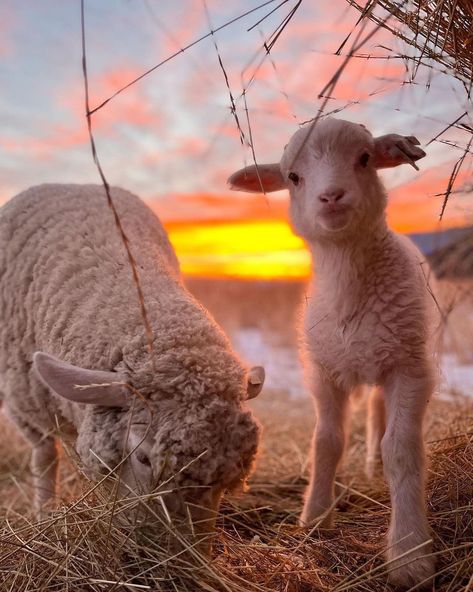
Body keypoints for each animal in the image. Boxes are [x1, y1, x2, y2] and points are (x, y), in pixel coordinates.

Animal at [0, 184, 266, 552]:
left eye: (231, 475)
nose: (182, 560)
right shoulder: (28, 406)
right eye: (144, 459)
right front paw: (47, 515)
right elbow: (45, 458)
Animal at [227, 118, 436, 588]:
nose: (332, 196)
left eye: (365, 158)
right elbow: (326, 441)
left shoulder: (410, 369)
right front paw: (315, 518)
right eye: (293, 177)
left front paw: (410, 554)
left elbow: (403, 449)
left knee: (380, 418)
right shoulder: (324, 372)